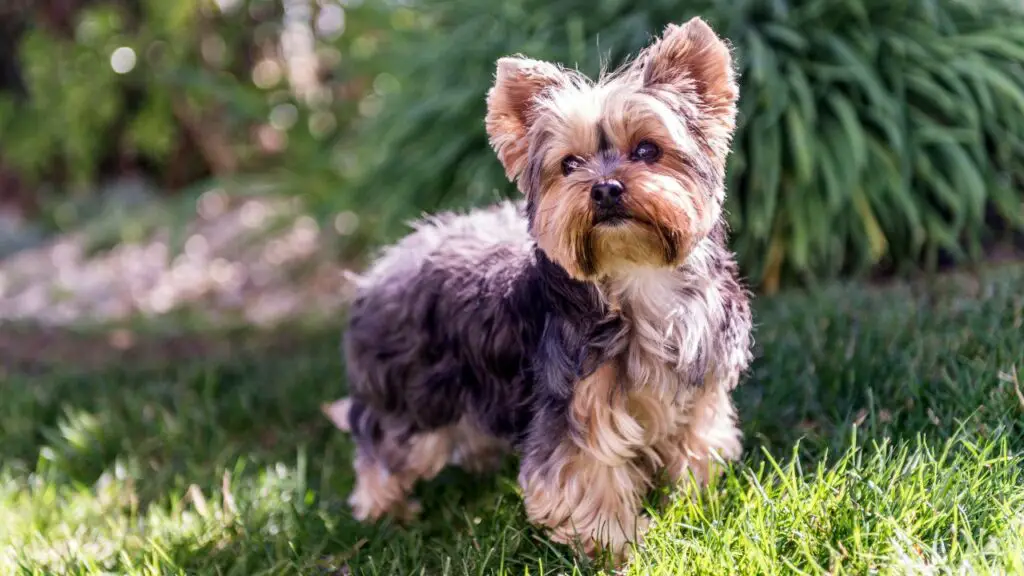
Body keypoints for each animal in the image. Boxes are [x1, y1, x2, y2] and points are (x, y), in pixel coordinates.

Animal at [323, 16, 757, 557]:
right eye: (569, 164)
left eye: (647, 150)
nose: (605, 188)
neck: (638, 277)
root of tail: (380, 269)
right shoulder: (575, 404)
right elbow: (588, 475)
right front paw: (615, 546)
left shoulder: (699, 389)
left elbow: (697, 443)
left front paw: (693, 503)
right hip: (414, 394)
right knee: (382, 442)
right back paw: (384, 511)